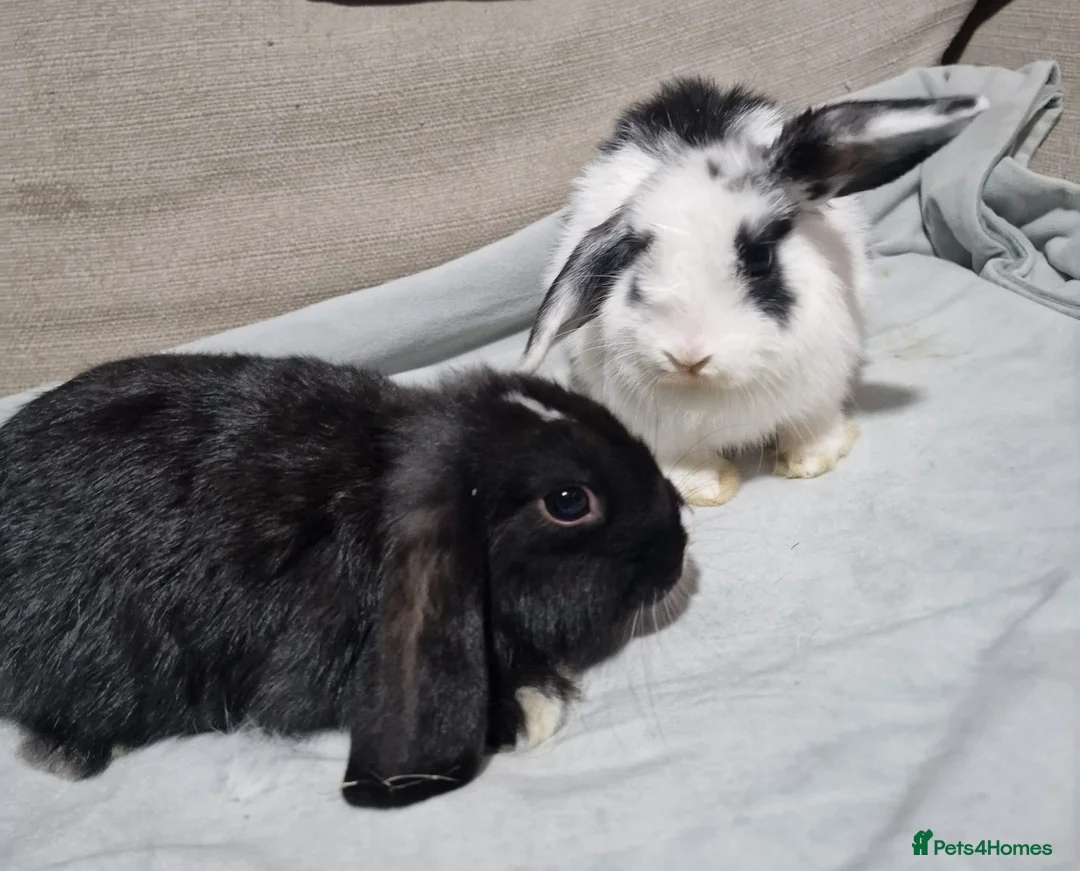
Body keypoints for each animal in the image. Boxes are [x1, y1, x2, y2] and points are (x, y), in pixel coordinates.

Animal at [518, 76, 987, 506]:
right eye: (635, 258)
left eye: (760, 258)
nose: (687, 357)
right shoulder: (659, 429)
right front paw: (706, 489)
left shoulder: (819, 393)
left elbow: (813, 426)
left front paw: (811, 461)